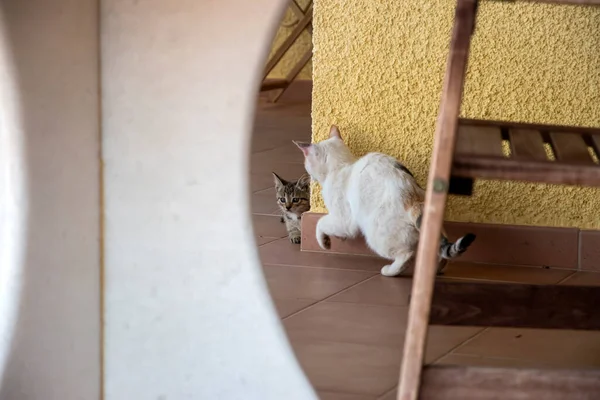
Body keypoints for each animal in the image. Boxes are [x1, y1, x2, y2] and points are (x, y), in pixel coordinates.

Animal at [292, 126, 476, 276]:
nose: (307, 173)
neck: (342, 166)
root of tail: (412, 198)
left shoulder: (343, 219)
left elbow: (321, 223)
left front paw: (325, 242)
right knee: (439, 254)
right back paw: (434, 271)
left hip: (376, 236)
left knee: (406, 255)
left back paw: (390, 271)